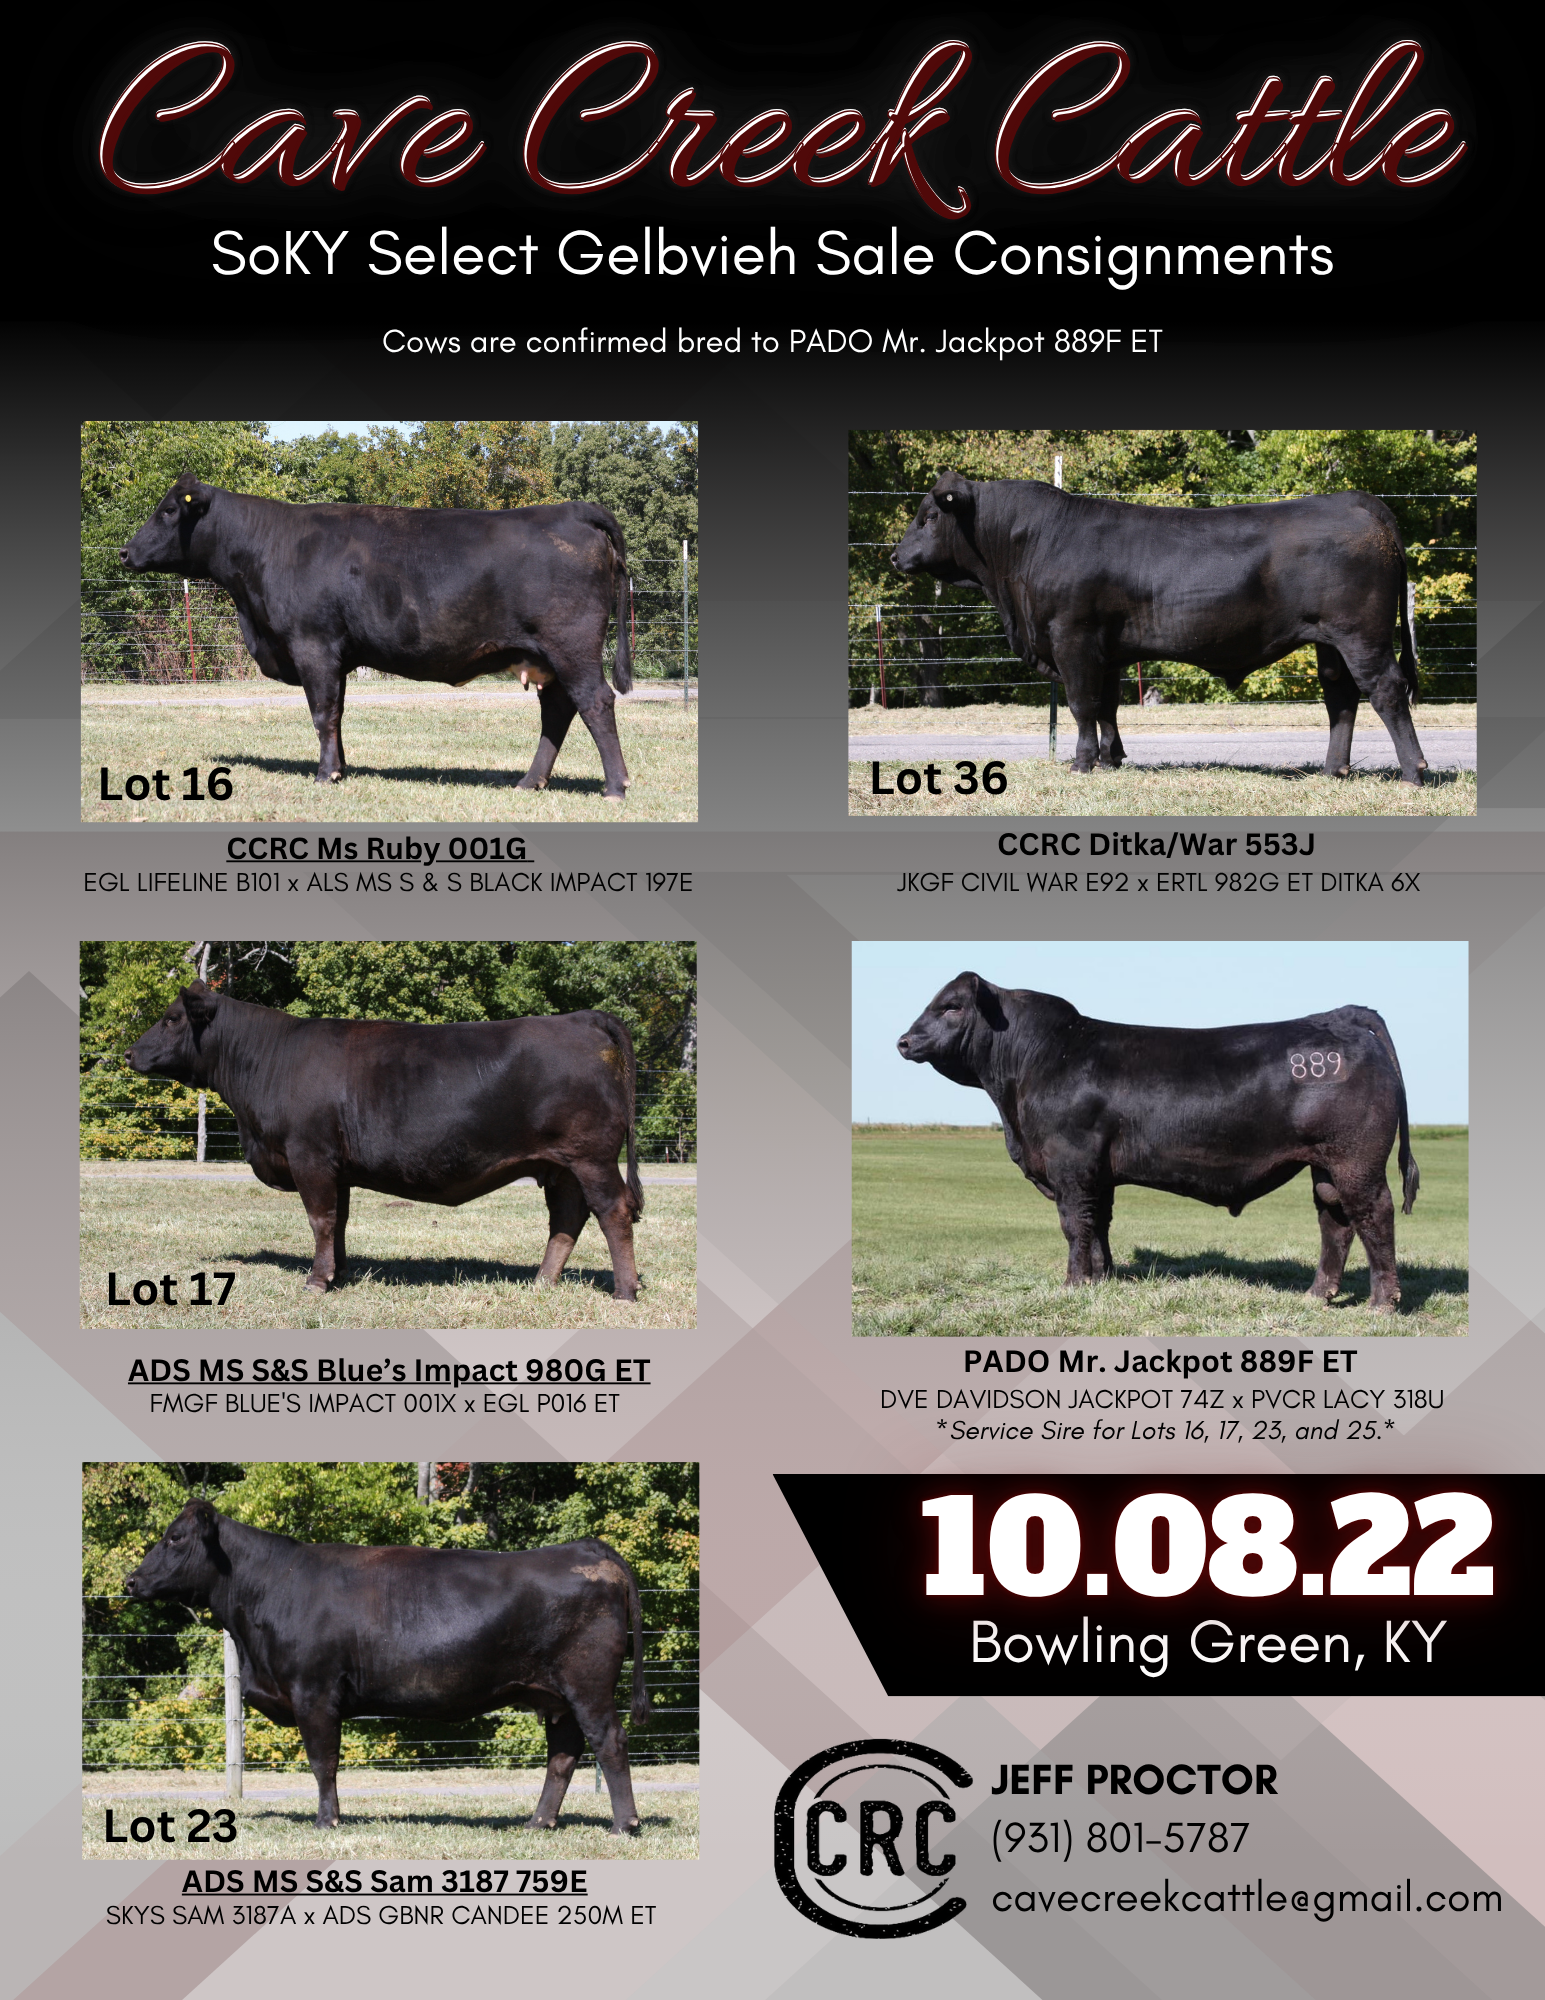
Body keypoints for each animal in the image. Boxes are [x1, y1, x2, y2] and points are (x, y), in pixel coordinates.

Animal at [119, 475, 635, 799]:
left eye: (169, 510)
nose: (125, 552)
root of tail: (572, 509)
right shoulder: (338, 655)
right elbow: (338, 713)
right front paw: (341, 769)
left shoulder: (313, 645)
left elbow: (322, 713)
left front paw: (324, 775)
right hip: (546, 656)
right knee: (559, 711)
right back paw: (530, 782)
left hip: (572, 646)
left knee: (595, 702)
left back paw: (614, 787)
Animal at [124, 1500, 651, 1833]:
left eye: (175, 1537)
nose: (130, 1580)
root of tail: (587, 1548)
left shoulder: (314, 1692)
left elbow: (323, 1762)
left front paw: (327, 1821)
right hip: (556, 1696)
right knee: (562, 1755)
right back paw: (537, 1823)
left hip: (588, 1685)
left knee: (610, 1742)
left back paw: (624, 1825)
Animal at [125, 981, 643, 1298]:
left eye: (171, 1018)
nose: (129, 1053)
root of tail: (582, 1017)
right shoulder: (338, 1167)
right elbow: (339, 1222)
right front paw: (340, 1272)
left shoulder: (309, 1155)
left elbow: (320, 1219)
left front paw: (317, 1281)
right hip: (560, 1166)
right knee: (567, 1219)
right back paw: (542, 1281)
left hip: (592, 1156)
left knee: (612, 1211)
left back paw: (624, 1290)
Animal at [890, 473, 1428, 784]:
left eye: (929, 515)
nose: (895, 556)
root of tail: (1353, 501)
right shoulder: (1107, 649)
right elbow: (1107, 706)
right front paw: (1111, 759)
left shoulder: (1072, 637)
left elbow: (1082, 705)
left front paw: (1082, 764)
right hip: (1330, 642)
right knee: (1341, 698)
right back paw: (1332, 770)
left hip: (1361, 635)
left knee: (1386, 690)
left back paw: (1414, 772)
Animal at [896, 973, 1420, 1309]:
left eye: (952, 1006)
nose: (903, 1041)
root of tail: (1340, 1016)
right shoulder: (1097, 1172)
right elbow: (1099, 1224)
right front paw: (1101, 1279)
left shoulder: (1070, 1164)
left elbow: (1074, 1224)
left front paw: (1073, 1285)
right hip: (1325, 1165)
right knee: (1336, 1221)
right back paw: (1316, 1296)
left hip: (1355, 1159)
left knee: (1374, 1214)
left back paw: (1382, 1303)